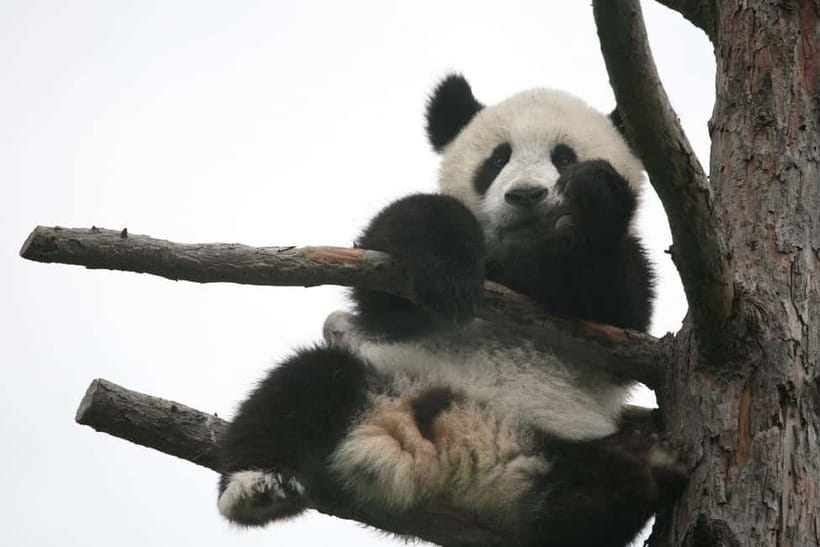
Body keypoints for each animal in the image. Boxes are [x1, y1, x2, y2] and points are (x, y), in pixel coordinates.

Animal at [216, 74, 683, 547]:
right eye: (498, 159)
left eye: (564, 156)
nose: (526, 195)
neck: (521, 255)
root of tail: (446, 457)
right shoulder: (395, 289)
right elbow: (399, 258)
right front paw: (449, 277)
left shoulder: (611, 302)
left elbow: (618, 308)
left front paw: (593, 198)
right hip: (385, 380)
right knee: (303, 385)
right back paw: (257, 486)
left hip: (556, 447)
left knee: (605, 492)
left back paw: (626, 475)